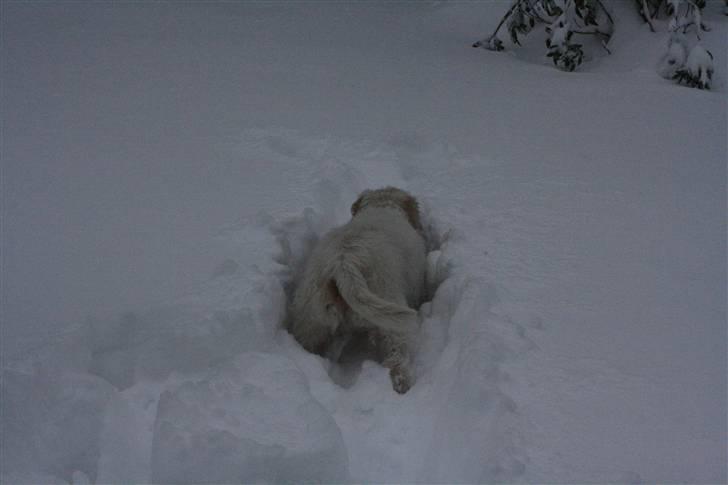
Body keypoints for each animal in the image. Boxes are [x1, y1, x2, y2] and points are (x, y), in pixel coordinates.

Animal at [288, 187, 426, 392]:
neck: (382, 206)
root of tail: (343, 262)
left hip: (312, 319)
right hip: (391, 318)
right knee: (396, 360)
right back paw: (401, 385)